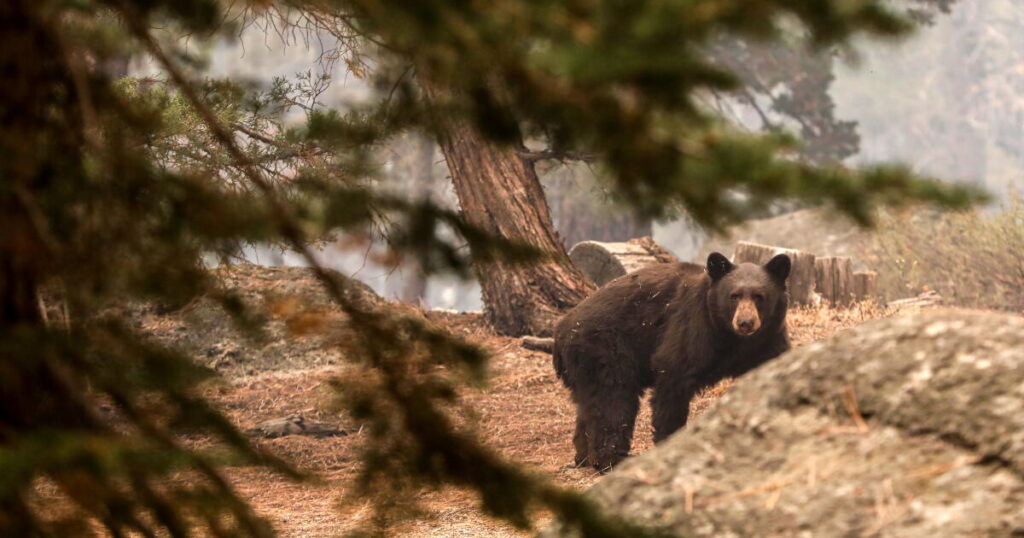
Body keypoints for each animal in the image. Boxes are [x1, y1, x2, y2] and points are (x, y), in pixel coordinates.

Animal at [552, 252, 791, 471]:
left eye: (759, 296)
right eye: (734, 296)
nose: (745, 322)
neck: (731, 336)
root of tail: (561, 331)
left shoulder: (767, 341)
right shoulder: (692, 326)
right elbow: (673, 378)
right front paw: (670, 442)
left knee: (589, 405)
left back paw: (584, 457)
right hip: (605, 349)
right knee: (613, 401)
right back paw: (611, 459)